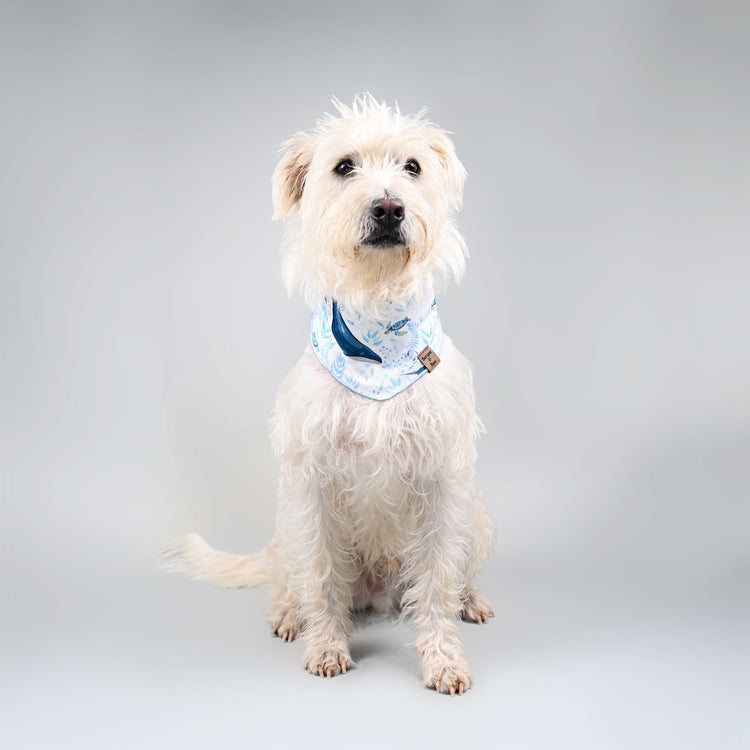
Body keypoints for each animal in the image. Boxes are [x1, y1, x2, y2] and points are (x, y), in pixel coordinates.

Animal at [162, 95, 496, 700]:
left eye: (412, 167)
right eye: (344, 167)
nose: (388, 208)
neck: (379, 337)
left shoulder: (443, 484)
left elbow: (438, 581)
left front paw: (442, 658)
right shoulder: (313, 487)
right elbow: (320, 578)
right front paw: (325, 645)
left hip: (477, 519)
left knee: (454, 575)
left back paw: (471, 600)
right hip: (288, 523)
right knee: (293, 578)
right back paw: (290, 613)